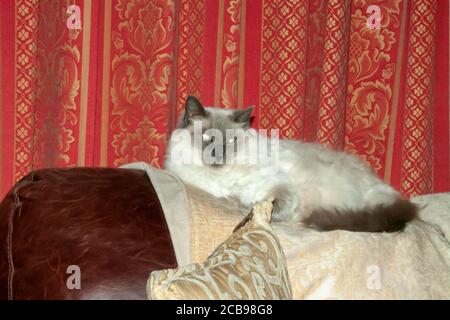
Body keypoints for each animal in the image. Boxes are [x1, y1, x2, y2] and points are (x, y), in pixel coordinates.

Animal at [163, 95, 416, 232]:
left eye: (232, 140)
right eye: (207, 137)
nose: (219, 155)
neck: (222, 178)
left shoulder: (280, 186)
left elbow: (274, 206)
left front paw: (249, 208)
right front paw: (240, 203)